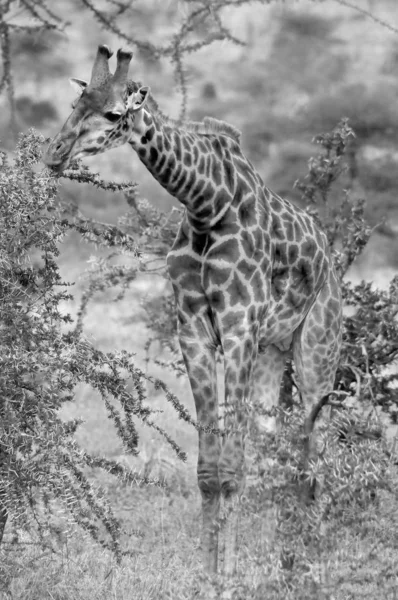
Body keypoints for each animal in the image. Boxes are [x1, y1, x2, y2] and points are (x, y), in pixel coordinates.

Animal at [43, 47, 342, 580]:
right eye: (77, 103)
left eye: (113, 114)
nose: (55, 154)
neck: (207, 203)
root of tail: (330, 255)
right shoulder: (195, 331)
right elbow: (209, 471)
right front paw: (208, 572)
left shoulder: (239, 326)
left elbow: (232, 467)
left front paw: (228, 575)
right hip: (273, 350)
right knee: (278, 446)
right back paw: (285, 557)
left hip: (316, 349)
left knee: (316, 448)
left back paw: (308, 558)